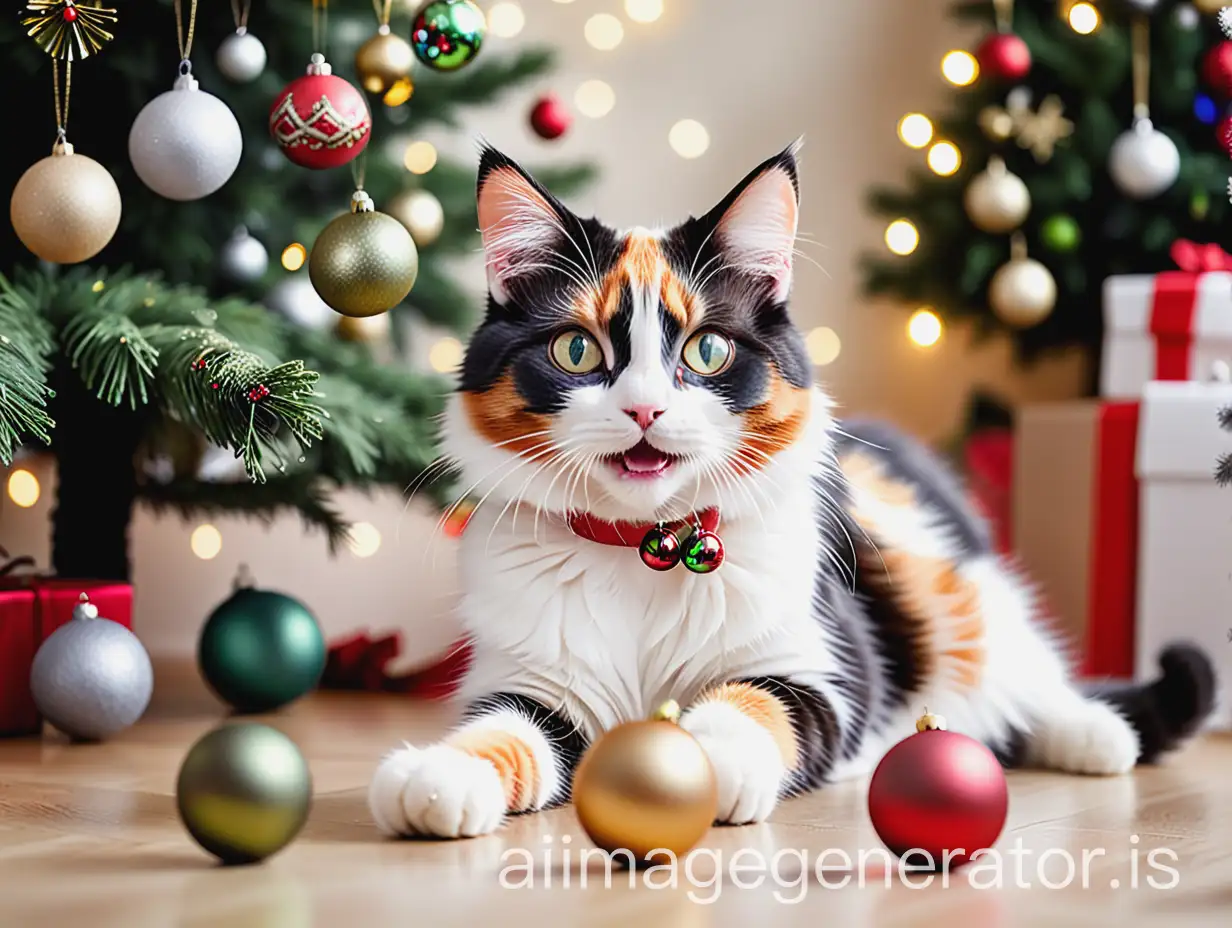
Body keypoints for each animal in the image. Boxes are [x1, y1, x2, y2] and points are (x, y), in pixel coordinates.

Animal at [364, 142, 1212, 838]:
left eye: (706, 350)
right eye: (577, 350)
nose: (644, 409)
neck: (643, 550)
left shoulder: (822, 667)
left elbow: (755, 702)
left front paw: (700, 760)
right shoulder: (529, 679)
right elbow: (501, 732)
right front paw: (438, 774)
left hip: (964, 603)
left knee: (1028, 677)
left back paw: (1095, 734)